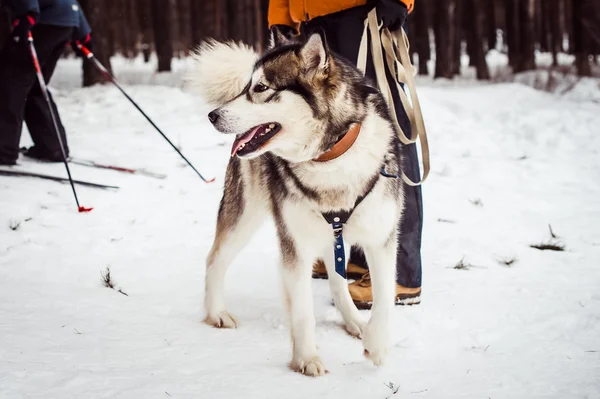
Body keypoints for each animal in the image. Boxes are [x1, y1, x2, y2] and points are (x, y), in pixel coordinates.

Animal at [190, 32, 406, 378]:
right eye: (247, 86)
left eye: (261, 88)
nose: (212, 116)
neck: (332, 158)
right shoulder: (296, 245)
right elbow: (303, 312)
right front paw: (306, 358)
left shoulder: (382, 238)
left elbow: (384, 297)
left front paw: (376, 345)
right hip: (246, 215)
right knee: (215, 260)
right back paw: (216, 313)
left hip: (333, 235)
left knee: (337, 280)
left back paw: (354, 321)